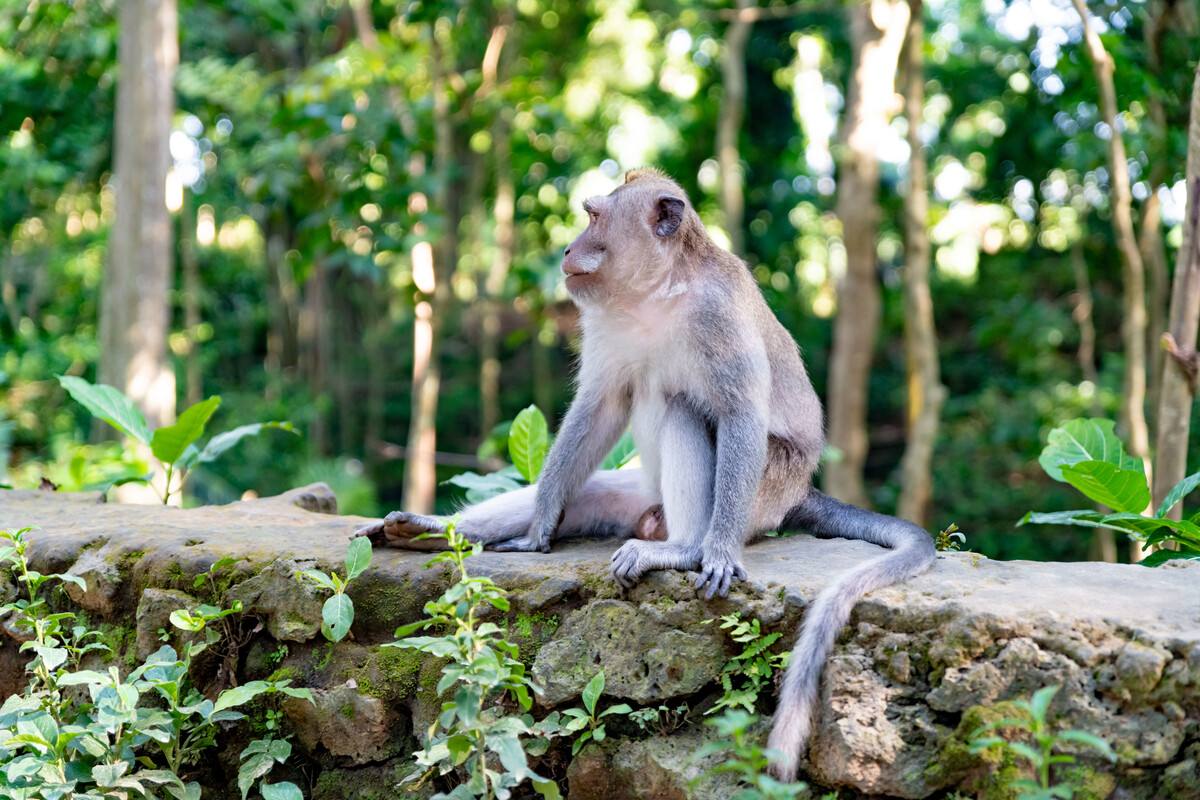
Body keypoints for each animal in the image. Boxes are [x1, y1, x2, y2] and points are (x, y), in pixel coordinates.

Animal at [355, 169, 936, 782]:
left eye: (594, 218)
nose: (568, 249)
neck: (658, 293)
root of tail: (800, 490)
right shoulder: (604, 321)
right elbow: (600, 406)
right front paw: (538, 529)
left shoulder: (717, 316)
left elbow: (739, 415)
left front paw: (718, 552)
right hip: (636, 497)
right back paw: (432, 531)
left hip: (766, 489)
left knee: (685, 407)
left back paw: (683, 549)